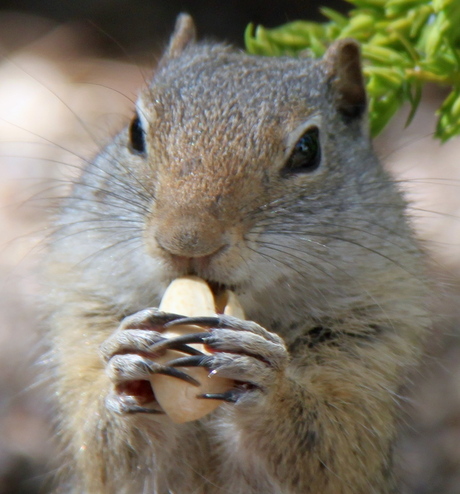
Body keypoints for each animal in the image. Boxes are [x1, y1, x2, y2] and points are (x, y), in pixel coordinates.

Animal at [44, 12, 432, 494]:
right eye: (134, 131)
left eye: (308, 149)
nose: (187, 242)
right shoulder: (84, 317)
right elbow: (110, 457)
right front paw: (126, 361)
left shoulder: (368, 344)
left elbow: (330, 451)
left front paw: (266, 377)